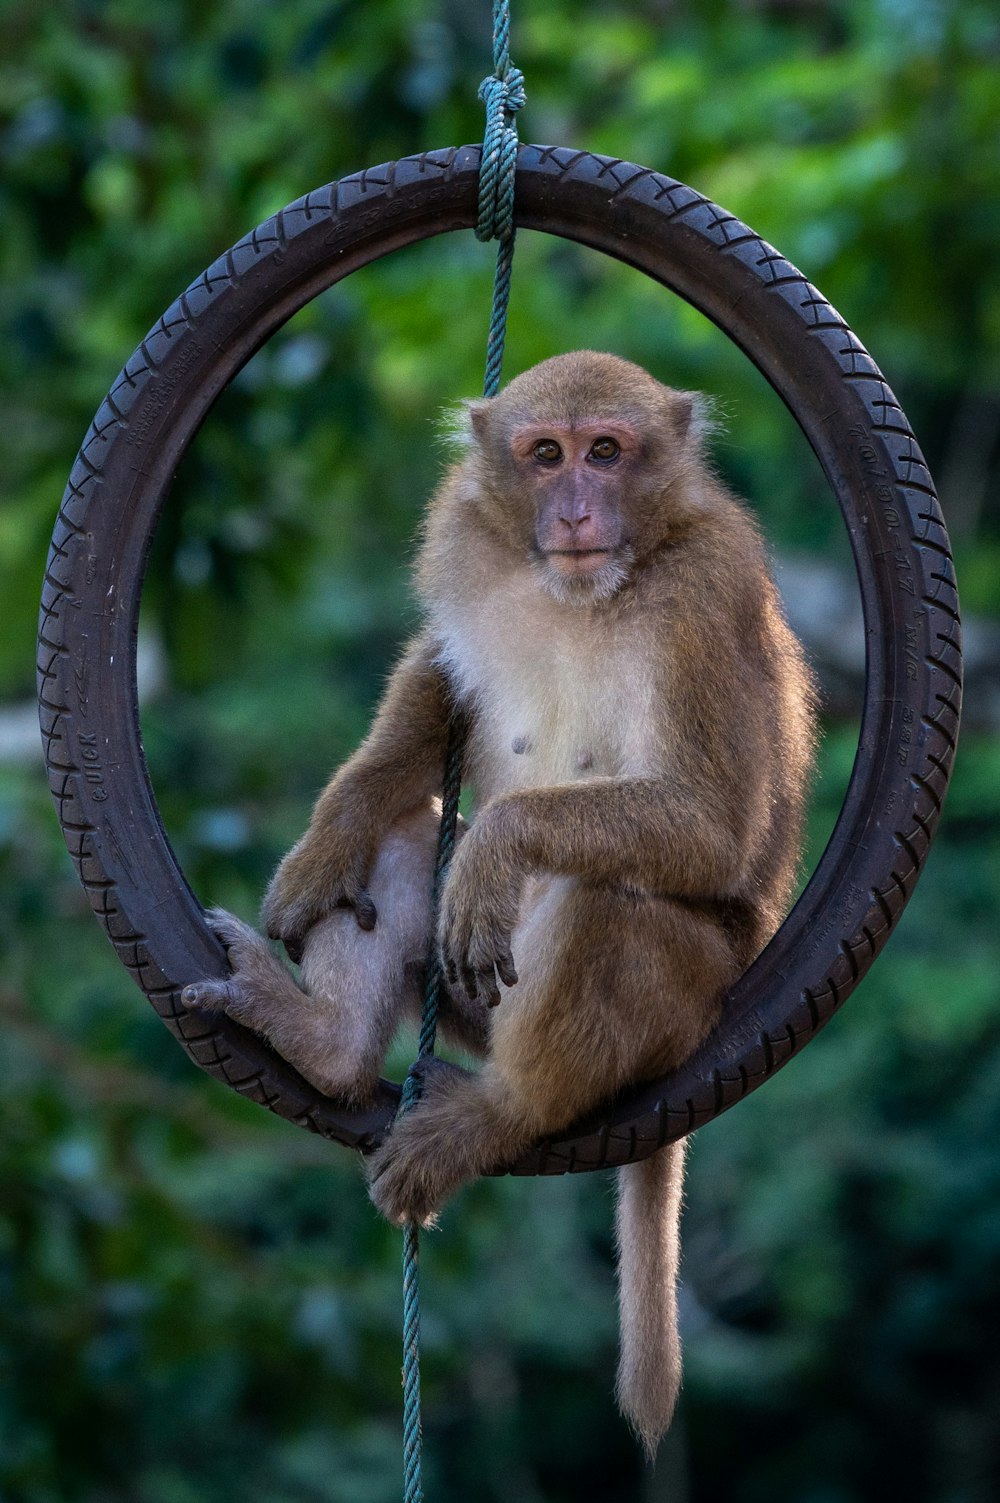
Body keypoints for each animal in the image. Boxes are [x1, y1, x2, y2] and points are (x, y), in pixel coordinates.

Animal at [183, 351, 818, 1454]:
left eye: (607, 451)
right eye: (546, 453)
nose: (575, 511)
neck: (591, 588)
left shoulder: (707, 593)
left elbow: (713, 822)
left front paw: (496, 848)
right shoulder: (466, 540)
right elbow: (440, 674)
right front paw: (329, 836)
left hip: (685, 998)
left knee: (607, 896)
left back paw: (499, 1113)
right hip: (473, 1000)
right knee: (410, 833)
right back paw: (328, 1044)